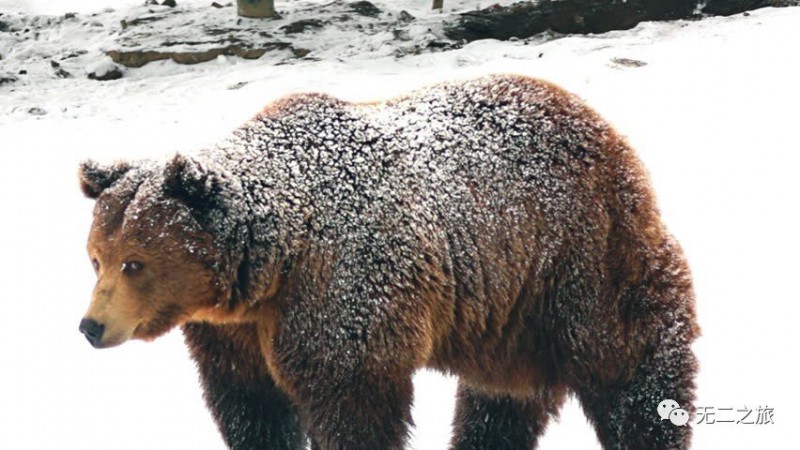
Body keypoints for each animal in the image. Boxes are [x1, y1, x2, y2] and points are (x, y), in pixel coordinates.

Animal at [78, 74, 696, 450]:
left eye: (135, 262)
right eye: (96, 258)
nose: (91, 326)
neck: (272, 266)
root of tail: (598, 121)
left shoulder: (345, 294)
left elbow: (354, 403)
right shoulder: (233, 332)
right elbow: (251, 405)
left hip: (579, 256)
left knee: (632, 362)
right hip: (509, 308)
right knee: (502, 399)